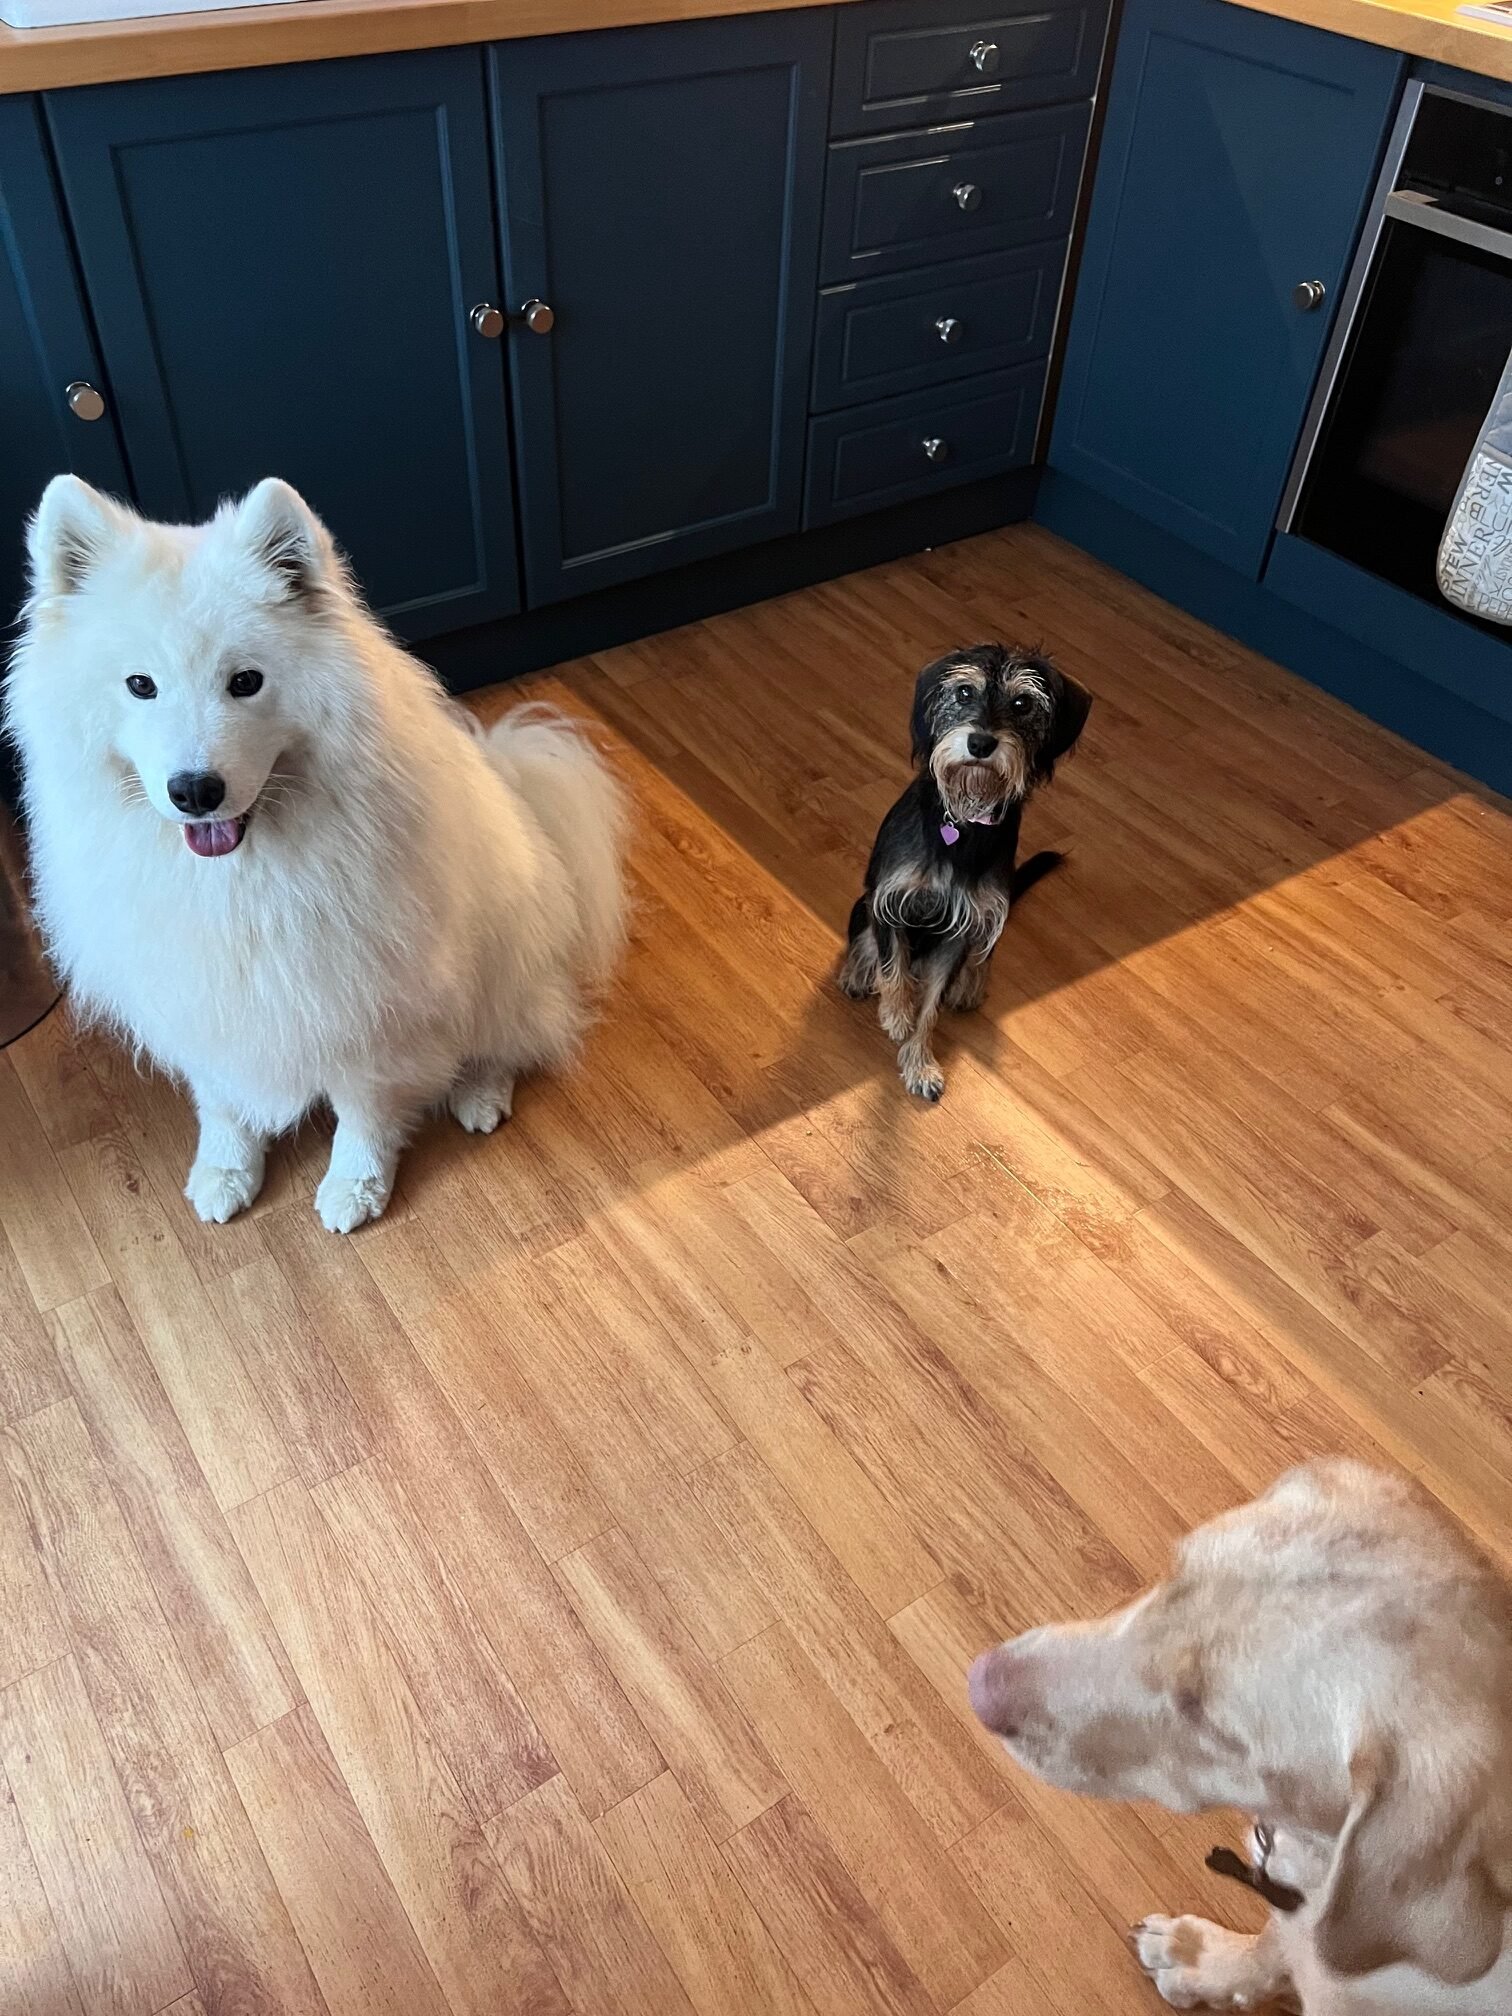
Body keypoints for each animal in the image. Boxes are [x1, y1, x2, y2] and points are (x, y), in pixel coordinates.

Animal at [5, 475, 628, 1225]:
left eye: (246, 681)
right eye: (140, 685)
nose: (195, 791)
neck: (238, 878)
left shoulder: (367, 1000)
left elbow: (364, 1108)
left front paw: (356, 1185)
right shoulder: (197, 999)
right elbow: (221, 1101)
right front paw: (226, 1169)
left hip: (498, 966)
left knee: (512, 1035)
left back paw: (479, 1092)